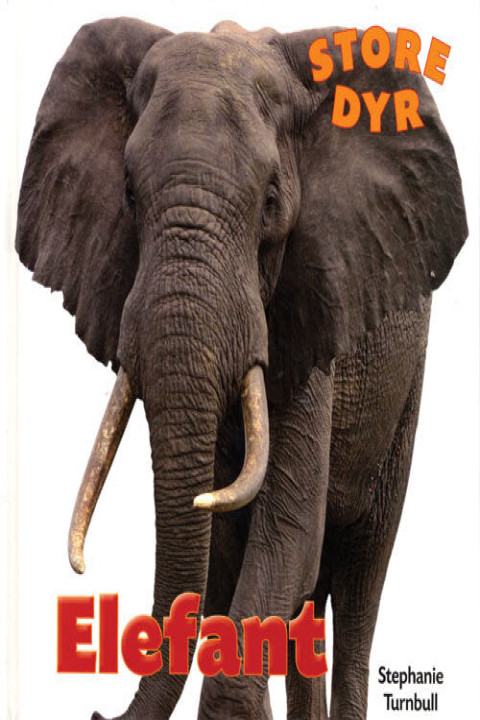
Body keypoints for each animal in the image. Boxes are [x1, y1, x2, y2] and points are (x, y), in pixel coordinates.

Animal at [15, 17, 467, 720]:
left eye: (272, 201)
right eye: (127, 194)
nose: (94, 710)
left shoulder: (315, 304)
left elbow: (290, 528)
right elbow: (230, 550)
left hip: (407, 378)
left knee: (360, 573)